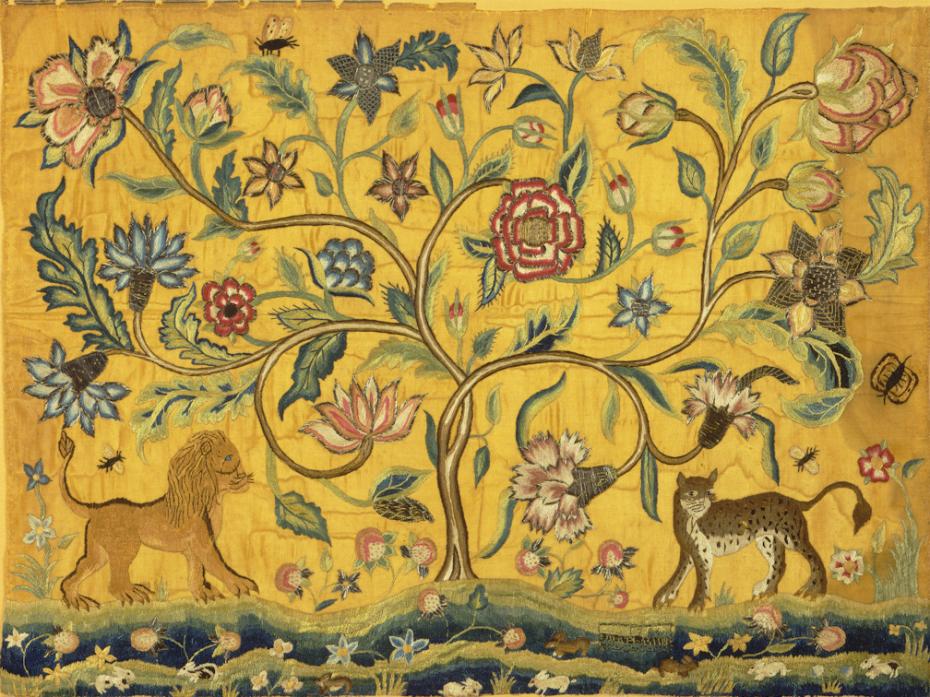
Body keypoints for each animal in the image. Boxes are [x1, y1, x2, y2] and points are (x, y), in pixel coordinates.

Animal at [57, 430, 258, 610]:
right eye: (229, 458)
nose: (244, 475)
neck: (210, 497)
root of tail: (96, 508)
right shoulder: (203, 544)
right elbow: (217, 564)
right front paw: (240, 584)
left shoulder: (192, 550)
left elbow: (196, 573)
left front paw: (203, 593)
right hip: (125, 547)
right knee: (114, 582)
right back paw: (131, 593)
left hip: (98, 552)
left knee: (80, 568)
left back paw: (77, 600)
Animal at [653, 469, 871, 611]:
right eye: (692, 493)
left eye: (709, 492)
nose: (706, 500)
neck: (689, 516)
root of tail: (792, 499)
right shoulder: (690, 550)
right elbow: (679, 574)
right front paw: (663, 597)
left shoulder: (701, 551)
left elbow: (700, 577)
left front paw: (695, 605)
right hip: (768, 539)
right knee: (780, 564)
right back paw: (767, 590)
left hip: (791, 537)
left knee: (813, 557)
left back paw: (815, 590)